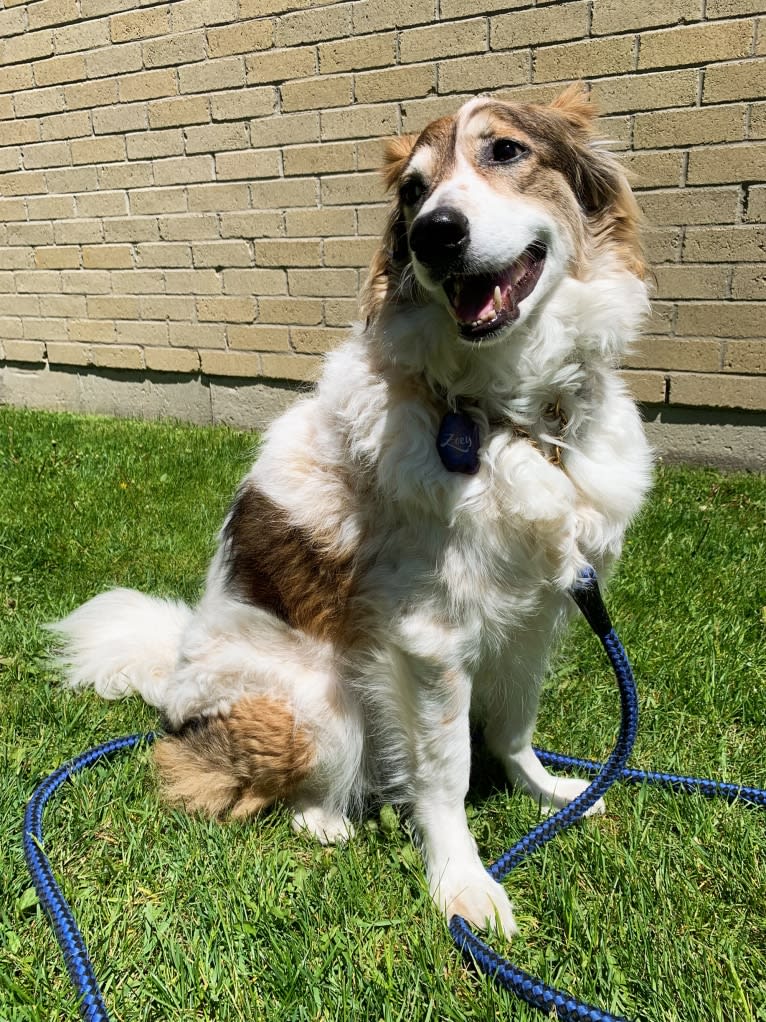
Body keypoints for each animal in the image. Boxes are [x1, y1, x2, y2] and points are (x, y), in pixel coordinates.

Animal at [52, 83, 653, 936]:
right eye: (413, 192)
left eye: (506, 151)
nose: (436, 233)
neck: (515, 419)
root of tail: (171, 679)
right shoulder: (431, 636)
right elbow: (445, 773)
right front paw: (463, 884)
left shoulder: (539, 612)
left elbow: (514, 728)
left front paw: (552, 794)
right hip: (323, 699)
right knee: (235, 780)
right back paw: (328, 818)